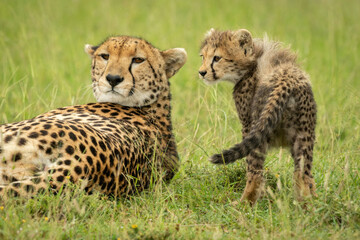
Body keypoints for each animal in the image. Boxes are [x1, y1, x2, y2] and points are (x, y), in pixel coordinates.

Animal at [200, 28, 318, 204]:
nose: (201, 72)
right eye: (203, 56)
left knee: (255, 173)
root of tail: (287, 78)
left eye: (217, 58)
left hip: (260, 132)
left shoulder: (247, 126)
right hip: (304, 137)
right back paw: (310, 204)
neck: (252, 62)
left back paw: (243, 203)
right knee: (304, 175)